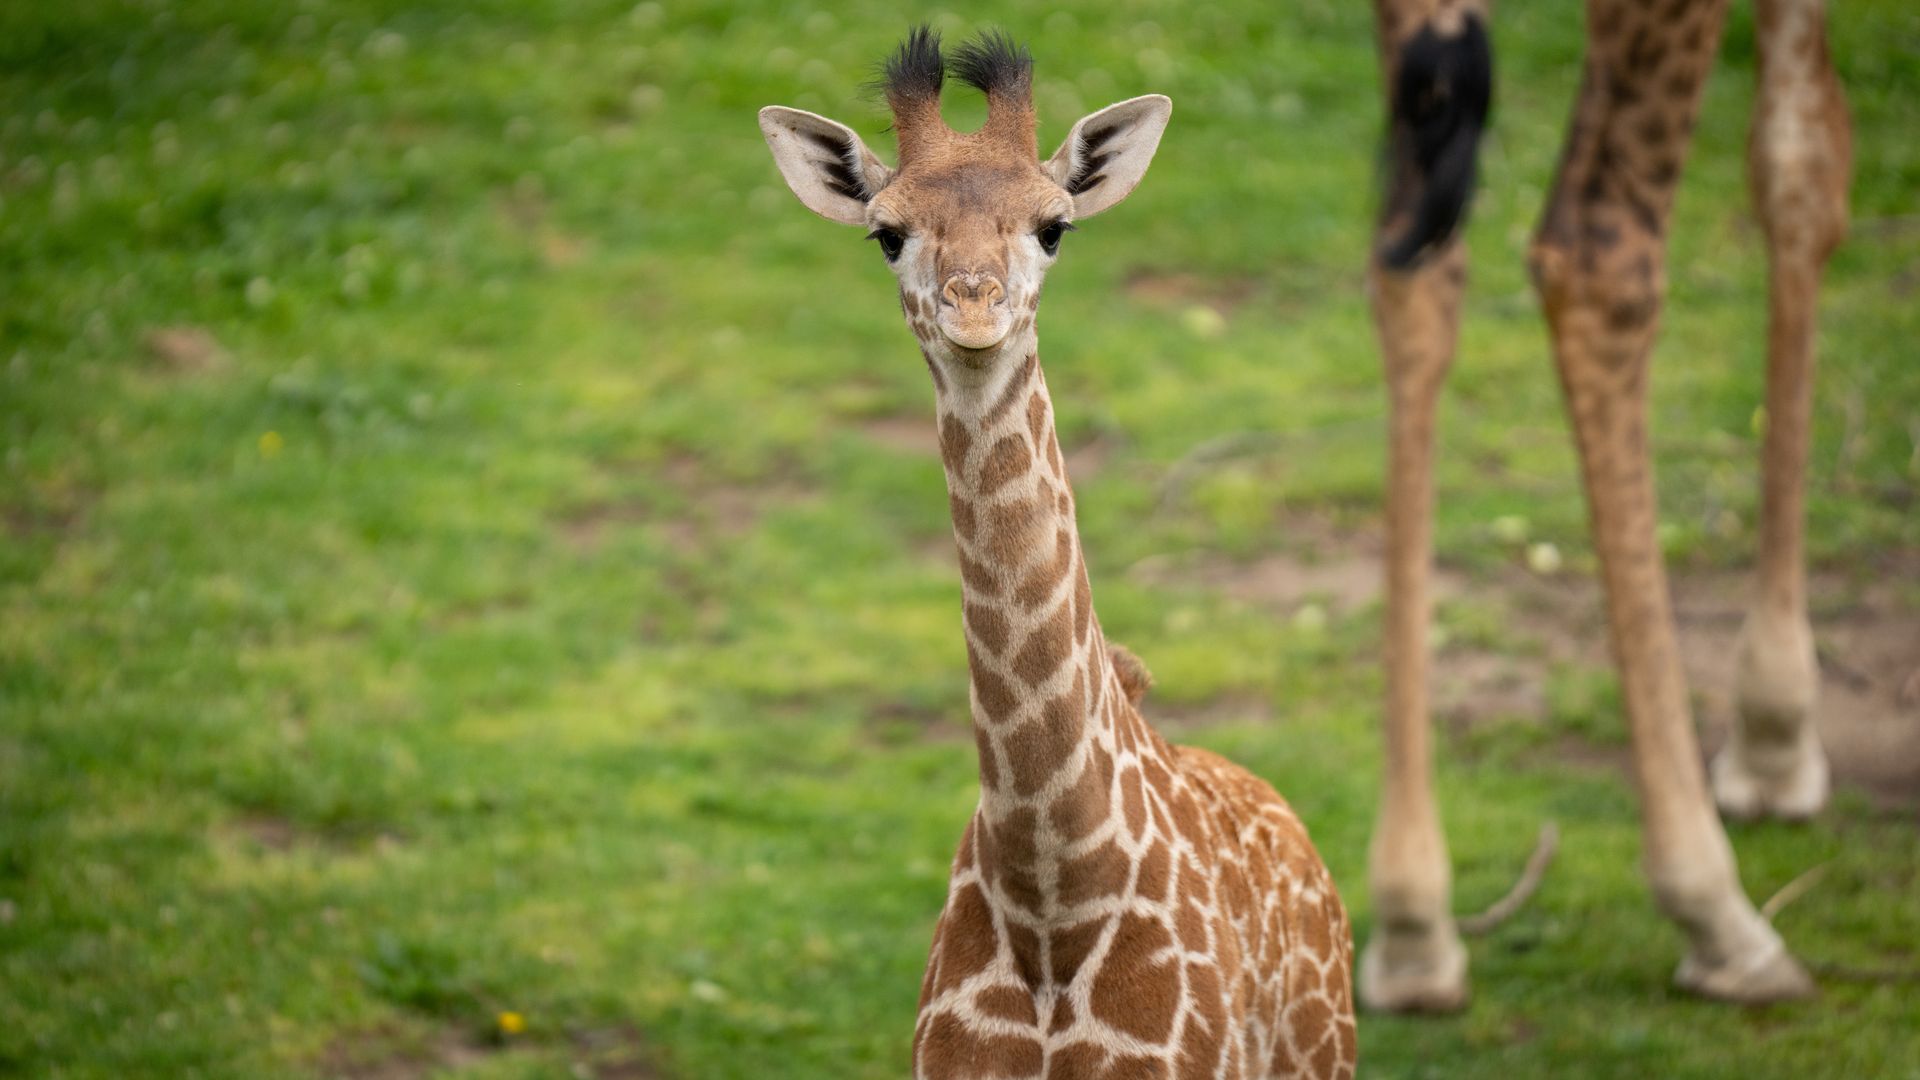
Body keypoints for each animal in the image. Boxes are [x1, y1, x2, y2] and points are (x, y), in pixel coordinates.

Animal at [1359, 0, 1851, 1010]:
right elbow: (1803, 158)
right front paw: (1775, 733)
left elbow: (1797, 150)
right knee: (1597, 250)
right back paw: (1716, 908)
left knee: (1412, 246)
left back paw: (1412, 922)